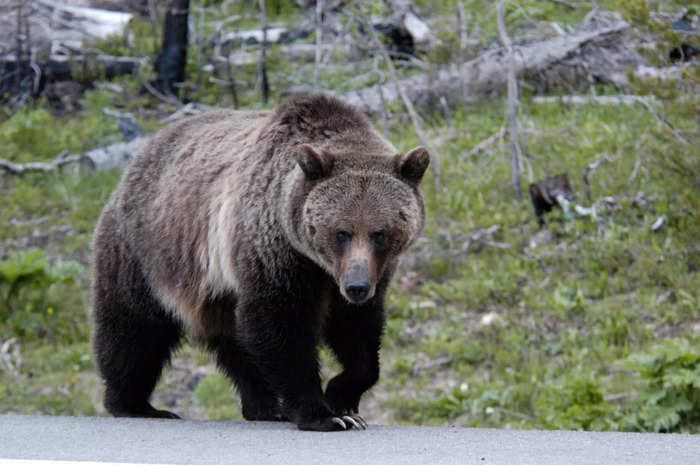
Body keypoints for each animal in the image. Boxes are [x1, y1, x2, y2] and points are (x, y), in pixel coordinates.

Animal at [91, 94, 432, 432]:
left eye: (380, 233)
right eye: (341, 232)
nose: (357, 286)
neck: (319, 265)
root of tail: (140, 156)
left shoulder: (369, 273)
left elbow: (359, 331)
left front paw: (343, 399)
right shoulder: (276, 252)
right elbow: (281, 322)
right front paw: (324, 414)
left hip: (215, 288)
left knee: (233, 341)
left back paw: (264, 406)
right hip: (143, 251)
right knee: (135, 328)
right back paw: (135, 404)